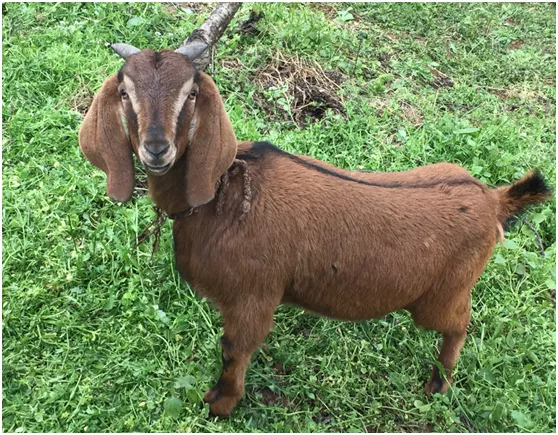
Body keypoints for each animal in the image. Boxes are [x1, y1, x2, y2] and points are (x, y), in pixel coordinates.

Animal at [79, 43, 552, 417]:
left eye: (191, 93)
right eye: (125, 92)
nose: (156, 149)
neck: (222, 196)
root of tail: (493, 199)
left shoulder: (253, 296)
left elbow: (234, 350)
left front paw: (220, 404)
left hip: (440, 296)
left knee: (460, 323)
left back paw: (438, 382)